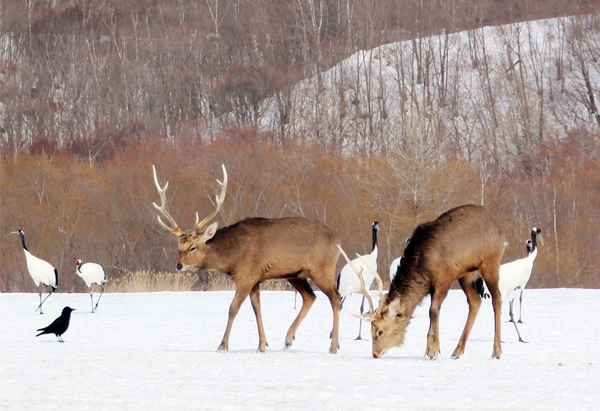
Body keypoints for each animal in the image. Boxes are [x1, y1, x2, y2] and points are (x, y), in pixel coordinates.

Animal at [150, 164, 342, 354]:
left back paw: (333, 346)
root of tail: (337, 239)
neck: (231, 259)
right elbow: (256, 308)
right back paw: (288, 340)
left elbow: (233, 308)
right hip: (295, 274)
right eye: (178, 248)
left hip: (322, 268)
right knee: (310, 297)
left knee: (335, 297)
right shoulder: (255, 279)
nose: (179, 265)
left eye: (193, 247)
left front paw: (222, 346)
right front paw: (262, 345)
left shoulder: (246, 275)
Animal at [342, 206, 506, 360]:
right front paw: (436, 349)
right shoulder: (435, 286)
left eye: (380, 331)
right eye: (370, 329)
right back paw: (457, 351)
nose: (375, 354)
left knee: (497, 298)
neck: (423, 269)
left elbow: (433, 311)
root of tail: (498, 227)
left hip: (491, 262)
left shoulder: (444, 280)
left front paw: (431, 352)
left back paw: (497, 351)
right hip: (467, 274)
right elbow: (436, 312)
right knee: (475, 301)